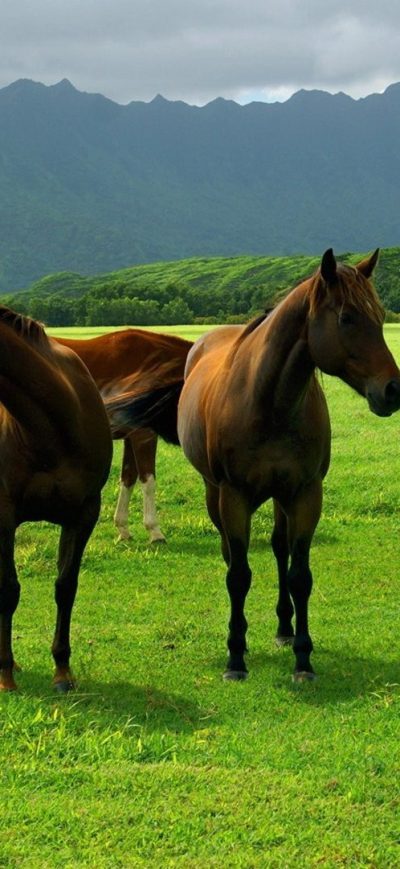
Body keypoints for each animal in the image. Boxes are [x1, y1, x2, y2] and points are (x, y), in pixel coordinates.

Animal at [0, 307, 112, 691]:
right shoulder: (4, 515)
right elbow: (9, 590)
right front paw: (5, 675)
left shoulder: (84, 513)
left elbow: (66, 586)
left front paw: (62, 670)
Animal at [55, 329, 192, 543]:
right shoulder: (144, 435)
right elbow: (148, 481)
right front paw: (154, 531)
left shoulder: (130, 436)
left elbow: (128, 479)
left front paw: (123, 529)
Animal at [106, 249, 400, 682]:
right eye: (347, 317)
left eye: (379, 316)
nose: (393, 390)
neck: (269, 402)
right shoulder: (234, 496)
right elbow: (239, 575)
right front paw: (235, 656)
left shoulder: (305, 493)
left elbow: (299, 575)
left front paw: (303, 658)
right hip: (215, 494)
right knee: (231, 555)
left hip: (280, 497)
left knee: (279, 549)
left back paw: (283, 628)